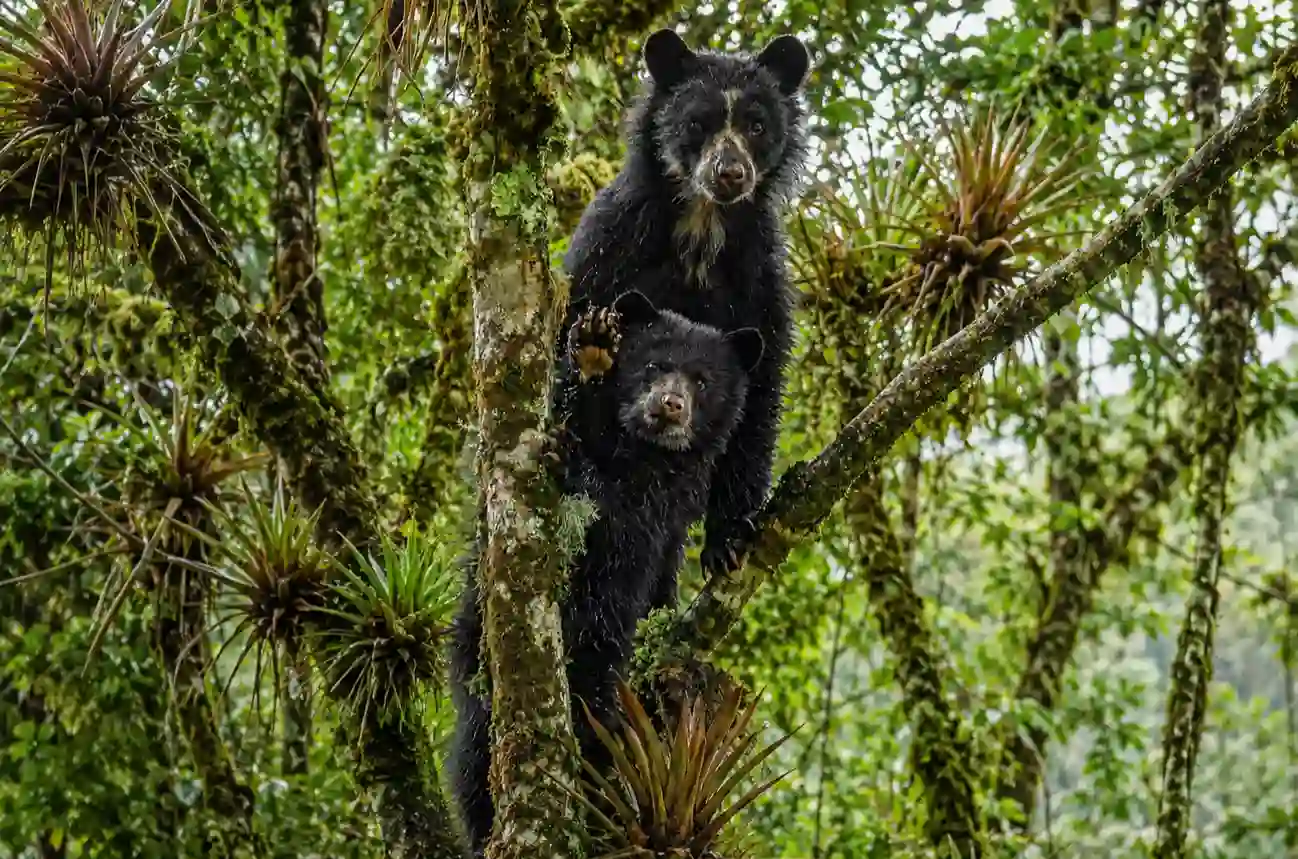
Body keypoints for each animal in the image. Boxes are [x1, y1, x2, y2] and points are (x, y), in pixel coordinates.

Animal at [448, 289, 764, 855]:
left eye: (703, 381)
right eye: (655, 365)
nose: (670, 404)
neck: (635, 451)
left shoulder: (657, 511)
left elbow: (620, 552)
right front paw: (591, 344)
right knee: (474, 753)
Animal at [562, 28, 811, 581]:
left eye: (757, 125)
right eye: (698, 122)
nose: (731, 173)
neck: (702, 222)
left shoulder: (758, 276)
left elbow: (758, 394)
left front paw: (728, 540)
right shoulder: (611, 245)